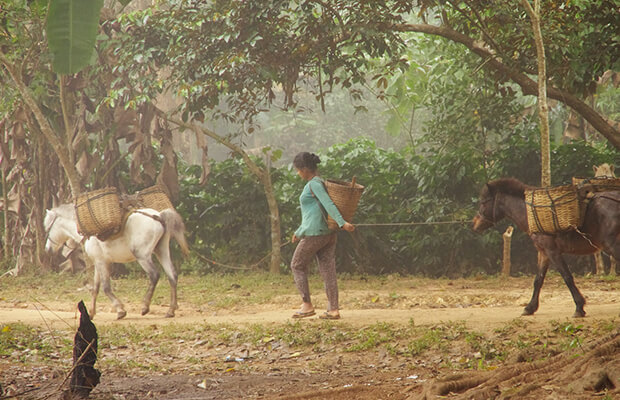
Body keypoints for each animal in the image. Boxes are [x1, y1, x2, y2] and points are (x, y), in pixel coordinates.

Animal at [44, 203, 189, 318]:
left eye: (48, 229)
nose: (47, 249)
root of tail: (159, 216)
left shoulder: (102, 263)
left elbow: (106, 288)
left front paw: (120, 310)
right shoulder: (99, 262)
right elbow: (95, 288)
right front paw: (91, 312)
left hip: (142, 256)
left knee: (154, 275)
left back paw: (145, 307)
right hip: (161, 251)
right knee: (172, 276)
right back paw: (171, 310)